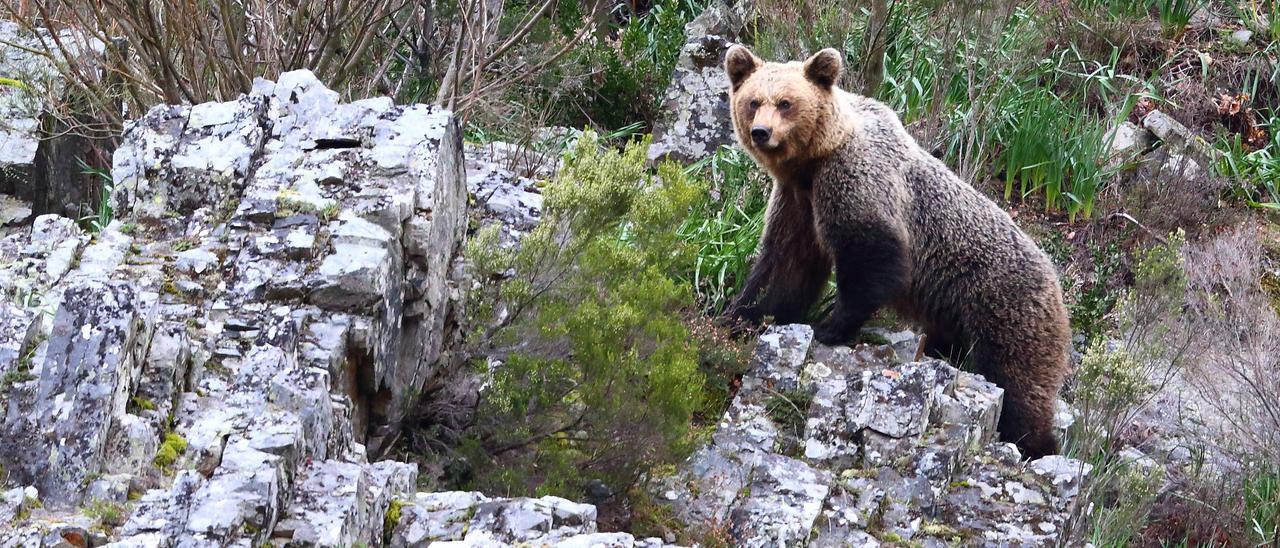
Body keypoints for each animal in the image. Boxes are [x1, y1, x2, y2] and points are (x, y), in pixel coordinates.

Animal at [721, 44, 1070, 460]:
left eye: (786, 103)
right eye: (753, 101)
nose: (761, 132)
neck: (814, 159)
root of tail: (1057, 282)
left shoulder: (856, 181)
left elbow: (871, 257)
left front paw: (830, 327)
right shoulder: (798, 200)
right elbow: (786, 262)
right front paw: (740, 314)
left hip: (1005, 308)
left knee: (1017, 384)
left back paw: (1034, 444)